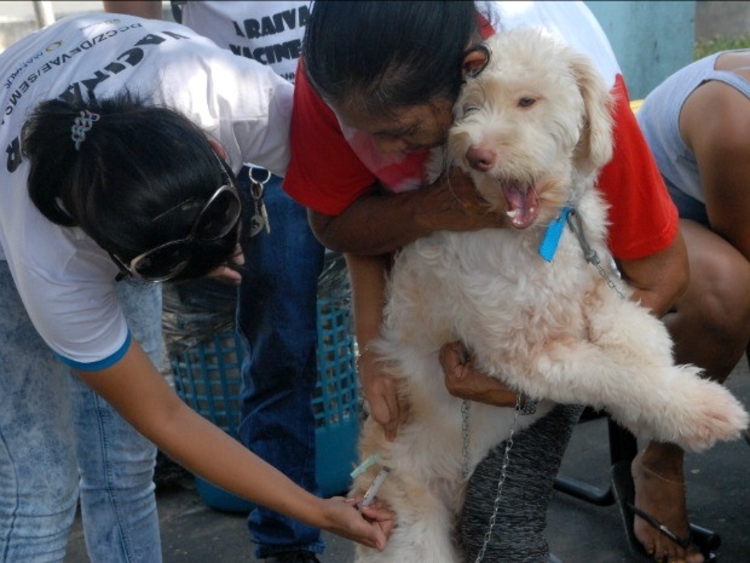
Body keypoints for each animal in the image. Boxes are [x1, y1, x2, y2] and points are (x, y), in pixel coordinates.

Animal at [352, 27, 750, 563]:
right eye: (470, 107)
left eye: (527, 101)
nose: (477, 155)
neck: (540, 233)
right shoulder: (527, 357)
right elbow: (616, 374)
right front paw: (703, 411)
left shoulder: (600, 287)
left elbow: (640, 338)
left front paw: (670, 390)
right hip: (413, 532)